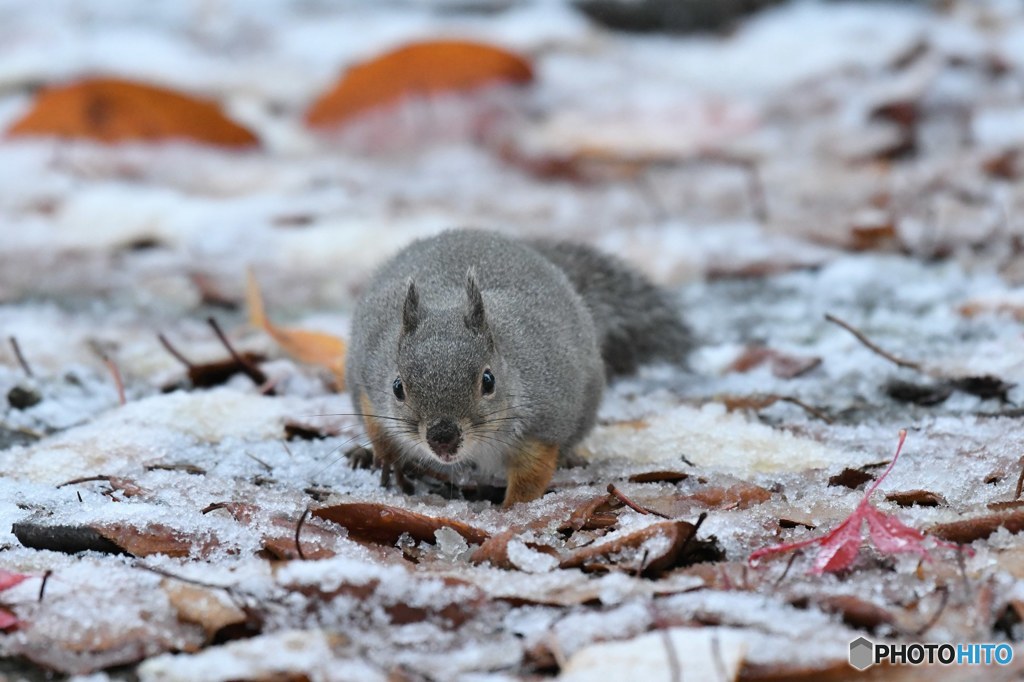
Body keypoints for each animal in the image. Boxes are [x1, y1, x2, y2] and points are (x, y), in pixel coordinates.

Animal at [344, 228, 688, 503]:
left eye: (489, 381)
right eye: (397, 387)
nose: (443, 436)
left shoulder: (545, 419)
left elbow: (532, 473)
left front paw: (512, 512)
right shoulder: (369, 377)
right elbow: (378, 425)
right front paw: (389, 459)